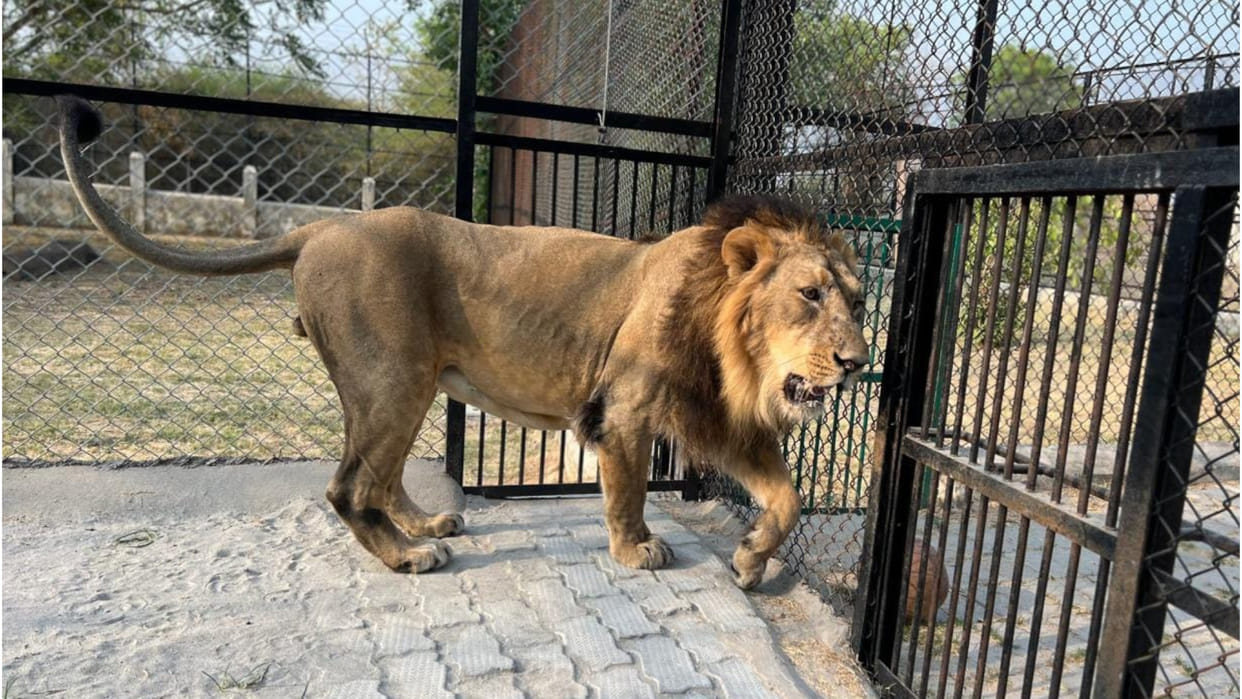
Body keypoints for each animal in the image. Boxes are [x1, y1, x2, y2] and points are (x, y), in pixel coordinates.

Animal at [56, 96, 869, 589]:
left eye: (860, 301)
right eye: (810, 294)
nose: (858, 363)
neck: (731, 351)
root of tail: (318, 228)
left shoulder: (720, 419)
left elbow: (789, 497)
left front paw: (751, 559)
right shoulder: (625, 410)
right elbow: (629, 491)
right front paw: (636, 548)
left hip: (393, 384)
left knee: (378, 478)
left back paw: (422, 522)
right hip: (395, 378)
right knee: (348, 487)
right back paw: (410, 553)